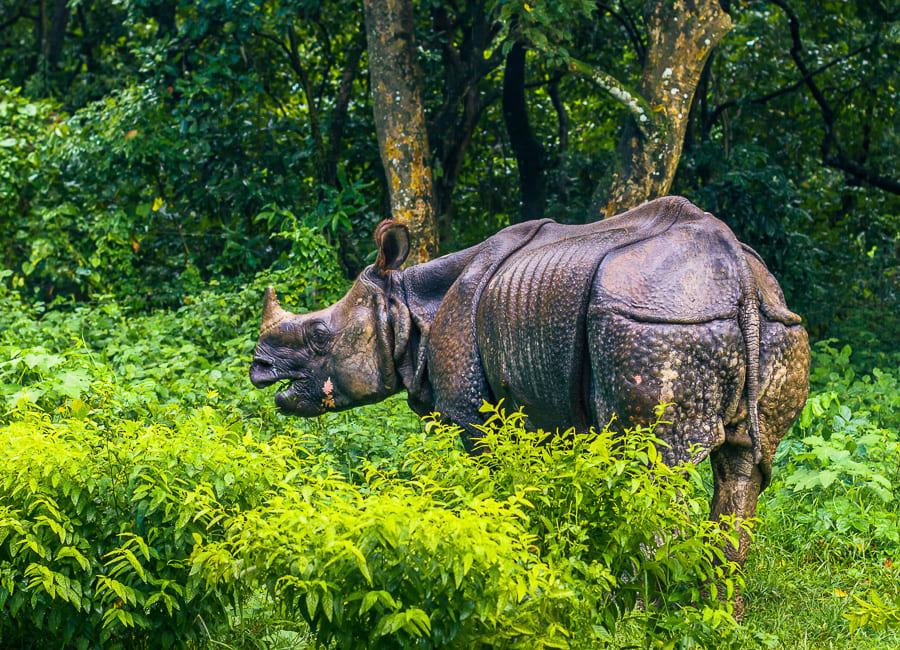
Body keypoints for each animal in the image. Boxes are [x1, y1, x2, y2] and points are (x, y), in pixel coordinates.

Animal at [250, 196, 810, 586]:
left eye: (319, 335)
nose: (258, 369)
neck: (408, 304)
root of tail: (739, 275)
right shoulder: (542, 407)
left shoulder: (471, 415)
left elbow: (489, 484)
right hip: (775, 325)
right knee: (743, 471)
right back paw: (718, 615)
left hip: (654, 322)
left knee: (651, 471)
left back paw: (642, 614)